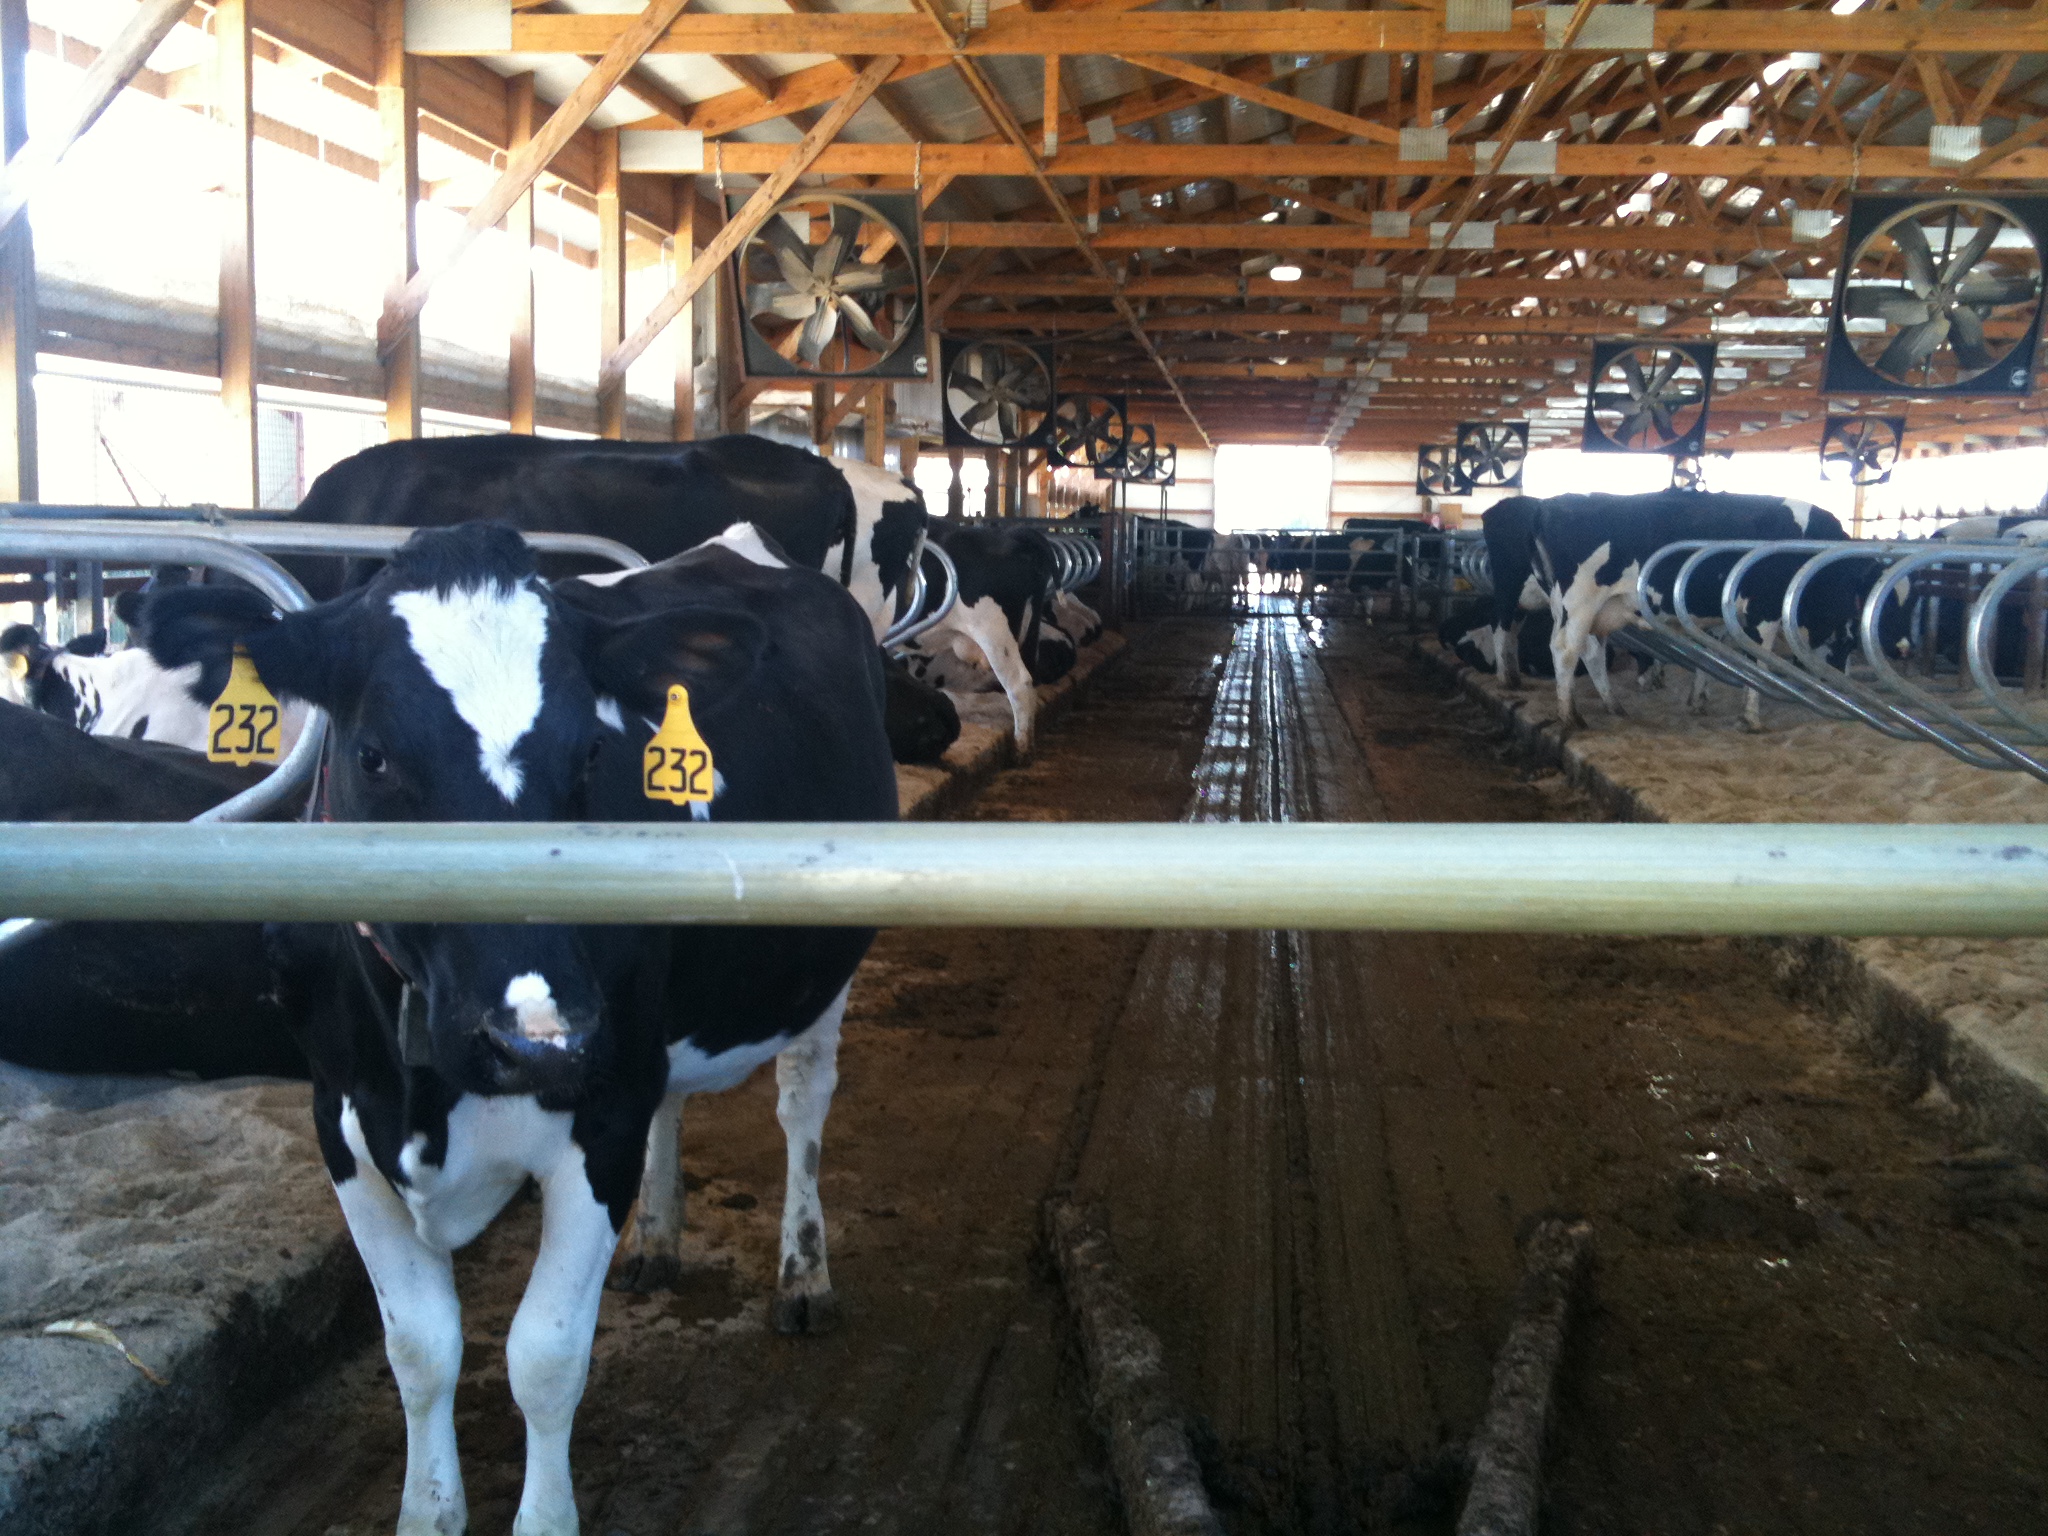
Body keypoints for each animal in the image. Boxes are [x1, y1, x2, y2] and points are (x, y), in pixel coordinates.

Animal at [144, 524, 897, 1531]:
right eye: (374, 756)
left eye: (590, 754)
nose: (540, 1038)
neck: (425, 1089)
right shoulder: (339, 1115)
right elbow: (420, 1349)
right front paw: (427, 1511)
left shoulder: (601, 1109)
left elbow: (543, 1357)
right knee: (674, 1102)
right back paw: (656, 1240)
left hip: (816, 966)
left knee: (802, 1106)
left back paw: (803, 1272)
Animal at [1531, 493, 1851, 733]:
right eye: (1848, 637)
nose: (1841, 684)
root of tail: (1550, 505)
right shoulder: (1764, 611)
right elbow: (1760, 662)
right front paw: (1750, 719)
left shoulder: (1723, 619)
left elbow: (1710, 656)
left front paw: (1698, 702)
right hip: (1579, 601)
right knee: (1566, 650)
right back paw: (1569, 716)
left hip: (1592, 609)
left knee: (1592, 652)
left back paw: (1613, 706)